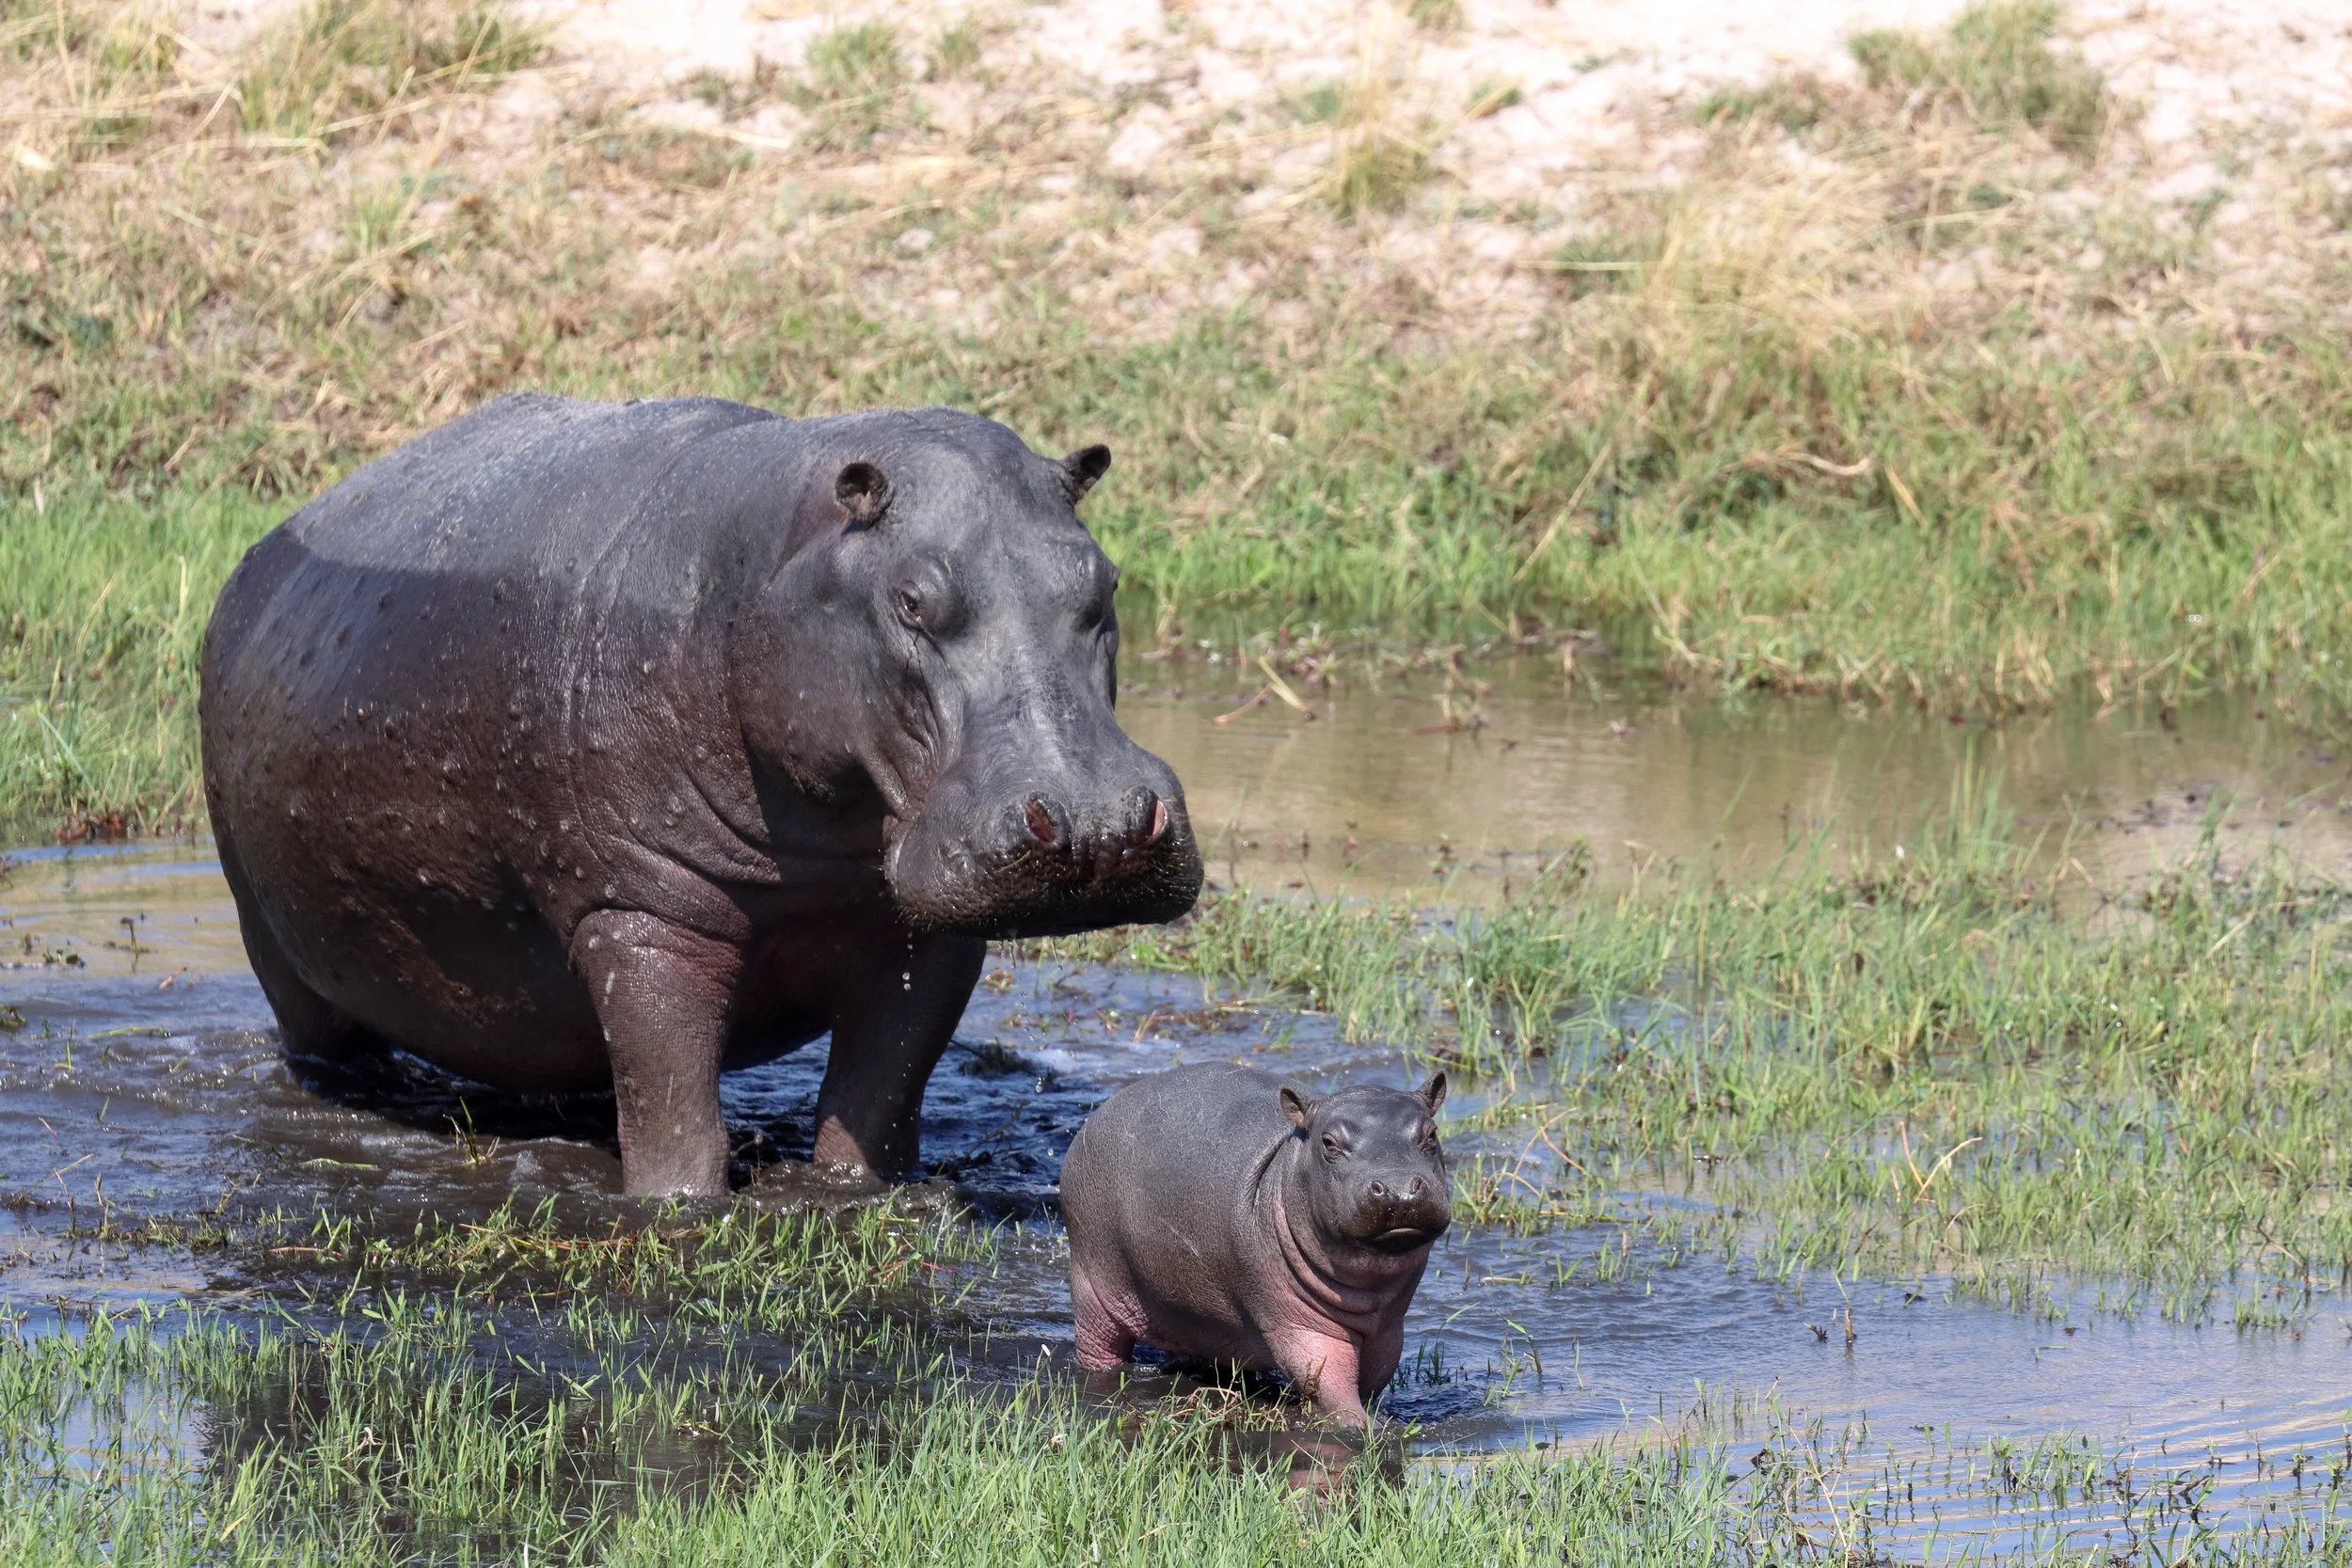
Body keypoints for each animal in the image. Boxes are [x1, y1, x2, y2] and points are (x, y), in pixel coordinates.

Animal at [199, 393, 1203, 1197]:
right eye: (912, 600)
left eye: (1106, 579)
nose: (1097, 823)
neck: (771, 564)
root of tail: (266, 546)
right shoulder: (639, 917)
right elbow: (678, 1119)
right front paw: (678, 1207)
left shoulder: (928, 930)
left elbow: (877, 1101)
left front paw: (856, 1191)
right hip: (273, 939)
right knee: (323, 1036)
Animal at [1060, 1064, 1450, 1428]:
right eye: (1328, 1143)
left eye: (1432, 1134)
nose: (1398, 1187)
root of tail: (1101, 1111)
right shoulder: (1299, 1325)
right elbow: (1326, 1375)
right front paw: (1361, 1427)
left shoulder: (1388, 1328)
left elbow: (1374, 1375)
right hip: (1093, 1281)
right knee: (1099, 1345)